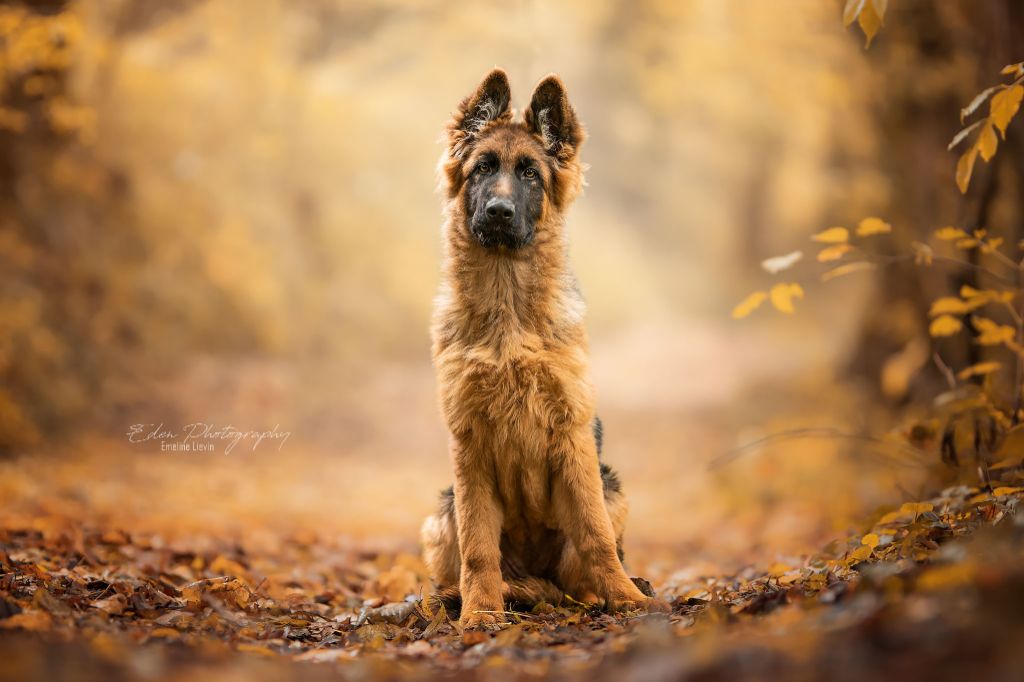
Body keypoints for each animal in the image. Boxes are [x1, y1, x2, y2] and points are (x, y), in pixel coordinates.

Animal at [421, 69, 655, 626]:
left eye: (530, 174)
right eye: (483, 168)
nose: (499, 212)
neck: (508, 315)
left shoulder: (571, 434)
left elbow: (594, 534)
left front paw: (626, 599)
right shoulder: (469, 445)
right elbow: (478, 545)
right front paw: (480, 613)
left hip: (612, 485)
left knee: (584, 565)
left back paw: (601, 592)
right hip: (441, 510)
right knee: (461, 562)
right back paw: (463, 597)